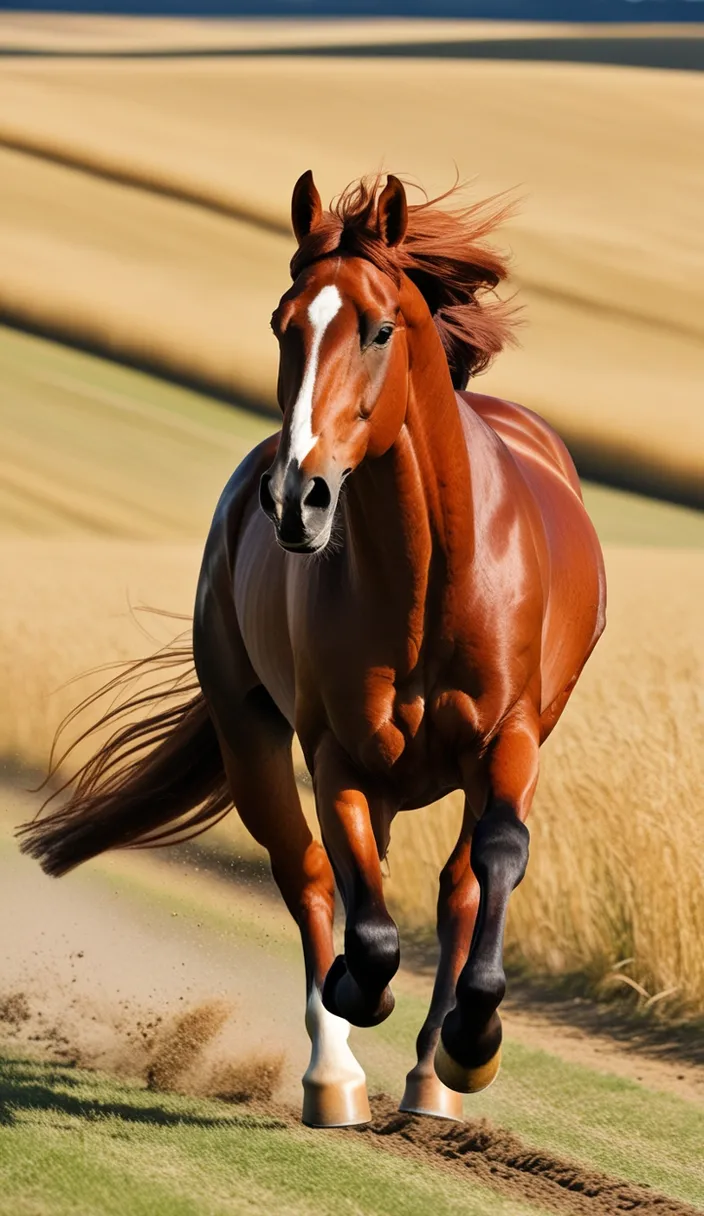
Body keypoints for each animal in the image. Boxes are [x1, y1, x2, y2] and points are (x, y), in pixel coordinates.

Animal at [20, 173, 605, 1128]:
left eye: (378, 329)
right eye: (281, 323)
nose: (297, 499)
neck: (432, 577)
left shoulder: (510, 736)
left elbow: (497, 856)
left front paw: (472, 1042)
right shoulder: (339, 754)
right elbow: (359, 923)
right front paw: (356, 997)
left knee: (454, 883)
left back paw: (433, 1076)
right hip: (252, 732)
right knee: (309, 877)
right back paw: (335, 1076)